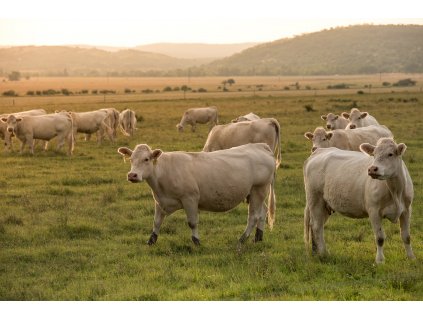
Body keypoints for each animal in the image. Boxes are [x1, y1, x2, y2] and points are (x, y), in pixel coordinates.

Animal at [118, 143, 278, 247]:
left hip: (258, 189)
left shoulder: (190, 199)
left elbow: (192, 222)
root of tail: (260, 146)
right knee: (262, 212)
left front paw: (196, 241)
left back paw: (242, 239)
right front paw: (151, 240)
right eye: (131, 159)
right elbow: (156, 222)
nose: (132, 175)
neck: (163, 171)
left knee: (253, 216)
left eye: (146, 159)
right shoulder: (160, 201)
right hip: (254, 193)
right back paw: (258, 237)